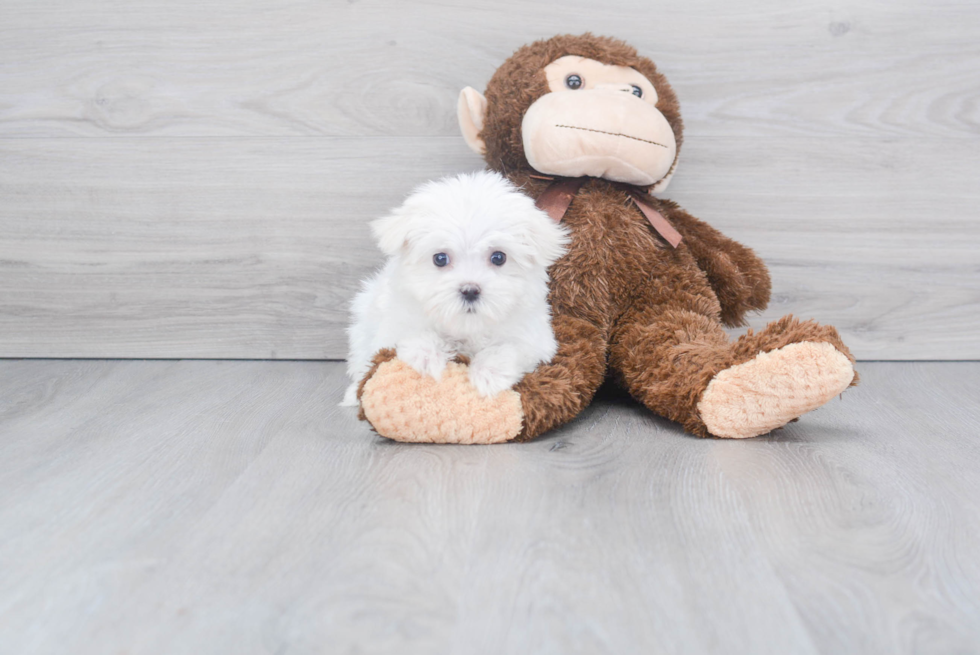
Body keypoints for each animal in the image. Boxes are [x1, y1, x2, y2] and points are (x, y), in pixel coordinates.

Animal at [342, 172, 568, 404]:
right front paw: (426, 356)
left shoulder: (536, 339)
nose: (470, 290)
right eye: (440, 258)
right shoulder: (395, 322)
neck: (466, 327)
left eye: (499, 257)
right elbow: (410, 332)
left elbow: (509, 348)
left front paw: (489, 374)